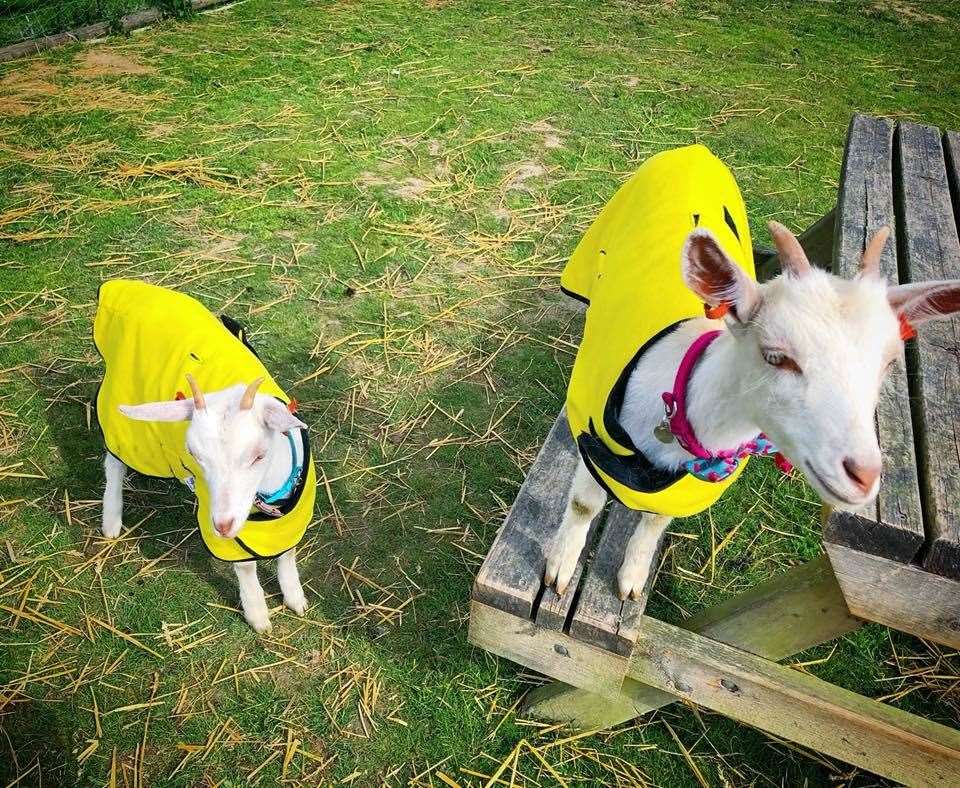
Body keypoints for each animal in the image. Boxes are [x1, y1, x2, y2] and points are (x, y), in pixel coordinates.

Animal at [92, 278, 316, 636]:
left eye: (259, 455)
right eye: (195, 455)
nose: (222, 525)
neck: (269, 497)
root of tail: (121, 287)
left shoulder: (292, 514)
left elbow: (287, 553)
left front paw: (294, 597)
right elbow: (246, 568)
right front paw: (257, 613)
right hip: (130, 423)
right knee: (114, 461)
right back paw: (111, 519)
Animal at [548, 143, 960, 596]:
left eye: (888, 362)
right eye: (776, 355)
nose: (864, 476)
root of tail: (695, 149)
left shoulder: (685, 489)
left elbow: (655, 520)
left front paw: (632, 578)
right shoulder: (597, 447)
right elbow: (583, 504)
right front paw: (559, 568)